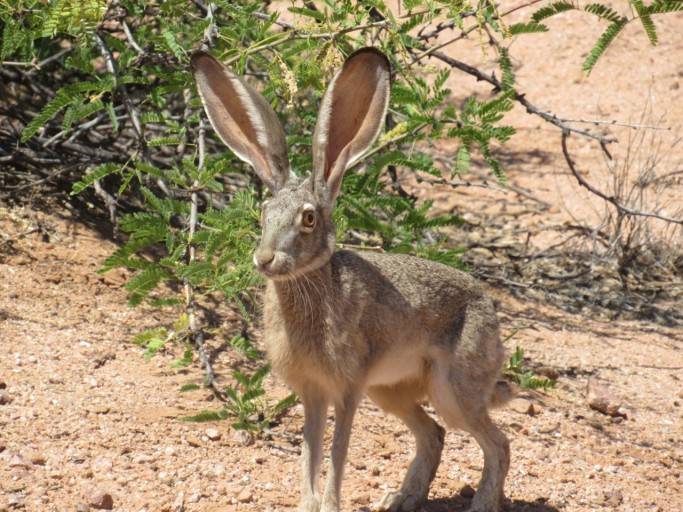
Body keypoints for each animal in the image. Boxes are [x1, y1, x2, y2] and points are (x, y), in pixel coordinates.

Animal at [190, 47, 510, 512]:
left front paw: (330, 506)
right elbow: (309, 450)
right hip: (391, 391)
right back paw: (401, 500)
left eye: (308, 219)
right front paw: (307, 506)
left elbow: (338, 451)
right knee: (434, 434)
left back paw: (480, 505)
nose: (264, 259)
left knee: (496, 443)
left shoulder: (347, 388)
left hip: (454, 389)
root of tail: (490, 313)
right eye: (263, 214)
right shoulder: (312, 390)